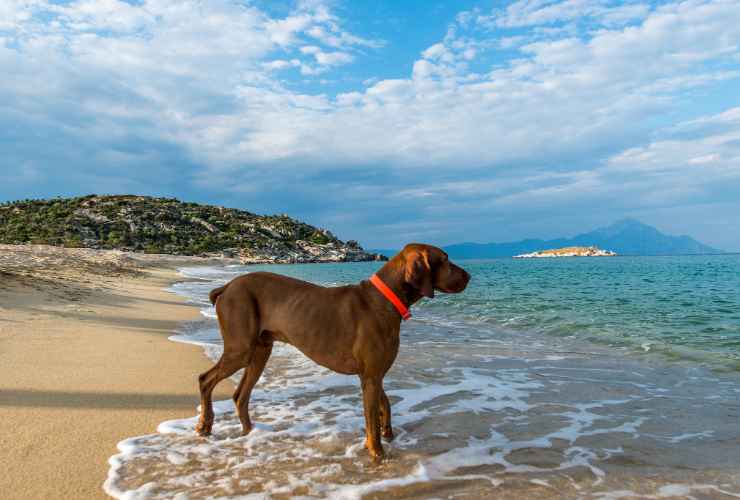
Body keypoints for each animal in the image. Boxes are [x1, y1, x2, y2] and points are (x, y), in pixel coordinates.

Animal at [195, 242, 468, 460]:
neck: (385, 299)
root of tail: (227, 286)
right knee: (205, 379)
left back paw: (250, 433)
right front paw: (378, 454)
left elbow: (385, 404)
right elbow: (372, 422)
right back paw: (205, 426)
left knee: (240, 395)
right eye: (444, 259)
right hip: (240, 349)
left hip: (260, 352)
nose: (469, 276)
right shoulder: (370, 376)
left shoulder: (374, 374)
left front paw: (387, 434)